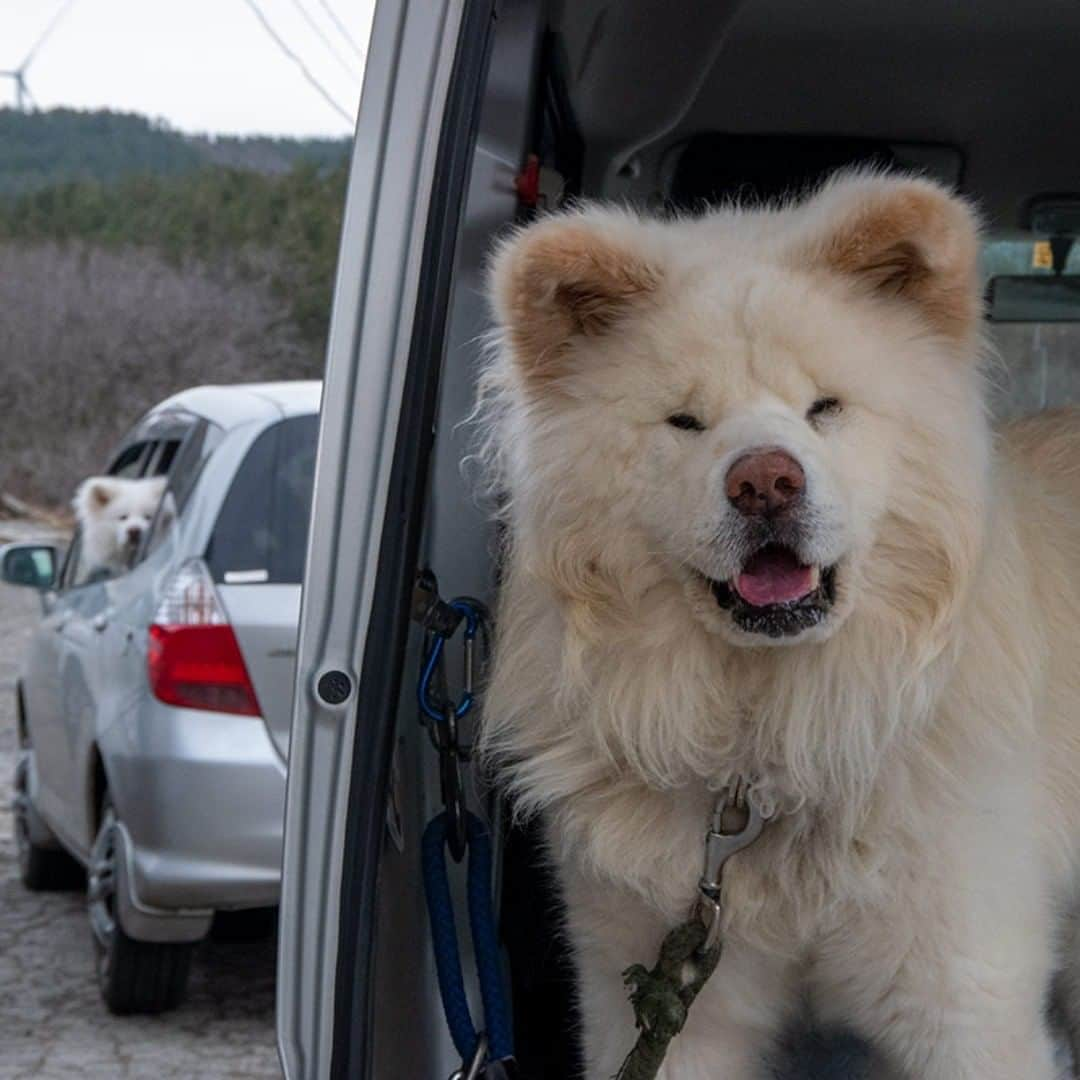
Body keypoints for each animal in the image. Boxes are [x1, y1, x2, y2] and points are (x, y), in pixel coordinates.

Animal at [481, 172, 1080, 1075]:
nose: (765, 482)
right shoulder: (662, 1002)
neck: (768, 743)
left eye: (824, 407)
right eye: (684, 421)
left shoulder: (965, 1005)